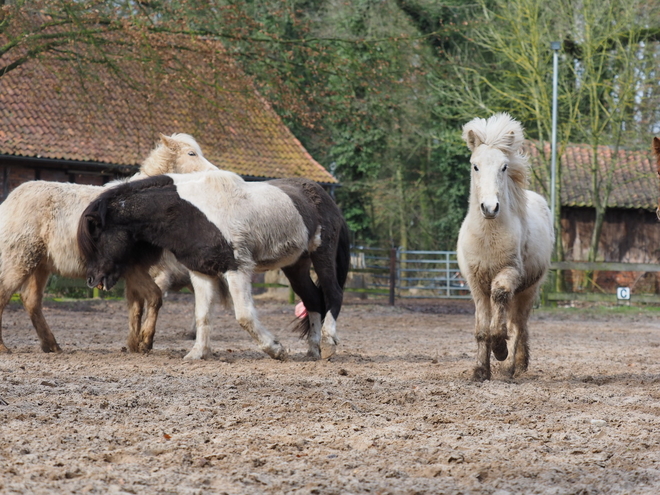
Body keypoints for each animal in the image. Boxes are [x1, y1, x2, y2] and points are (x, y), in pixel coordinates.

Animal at [77, 170, 350, 360]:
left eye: (96, 235)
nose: (91, 280)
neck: (187, 212)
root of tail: (327, 199)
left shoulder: (236, 268)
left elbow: (244, 315)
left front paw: (275, 349)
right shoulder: (202, 272)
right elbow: (203, 314)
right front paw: (198, 353)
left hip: (322, 255)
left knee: (334, 294)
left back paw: (328, 343)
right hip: (296, 265)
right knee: (313, 300)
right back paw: (313, 351)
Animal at [456, 115, 556, 384]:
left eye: (504, 167)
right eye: (475, 166)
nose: (490, 207)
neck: (488, 237)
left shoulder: (510, 272)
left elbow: (500, 299)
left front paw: (500, 349)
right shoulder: (476, 282)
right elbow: (481, 329)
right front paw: (480, 371)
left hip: (529, 290)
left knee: (519, 325)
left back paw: (514, 366)